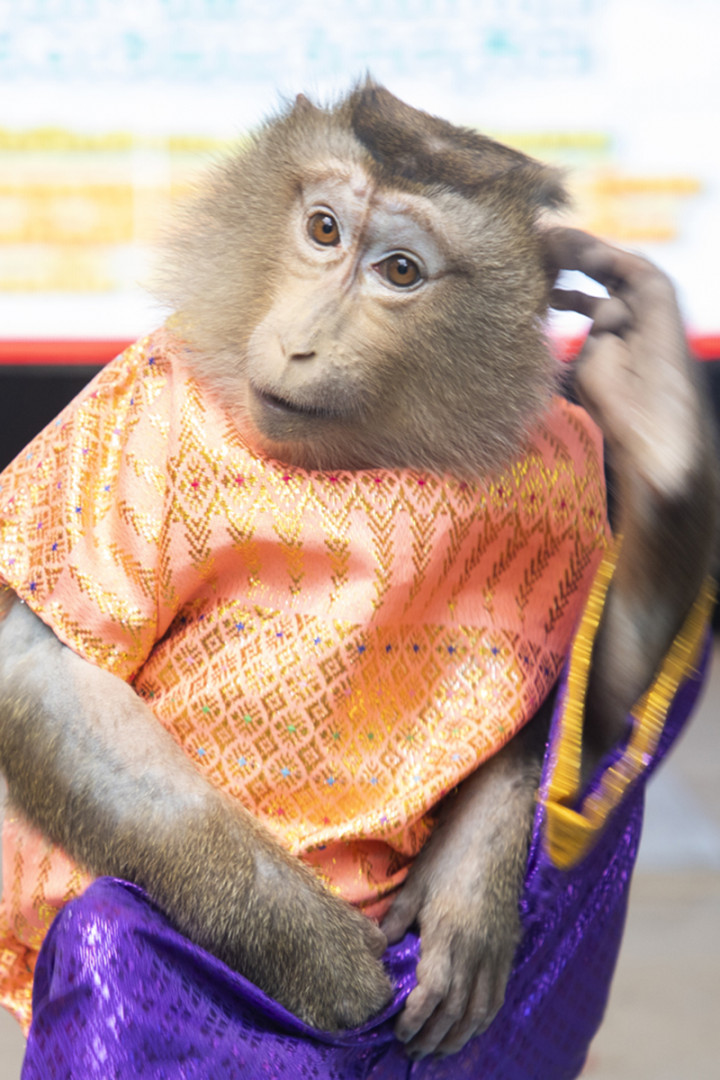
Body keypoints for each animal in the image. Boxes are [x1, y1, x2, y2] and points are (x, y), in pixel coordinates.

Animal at [0, 83, 716, 1069]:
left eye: (401, 271)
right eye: (324, 228)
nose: (302, 342)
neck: (358, 454)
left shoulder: (571, 462)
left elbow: (589, 709)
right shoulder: (130, 410)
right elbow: (49, 674)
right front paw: (331, 971)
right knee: (112, 932)